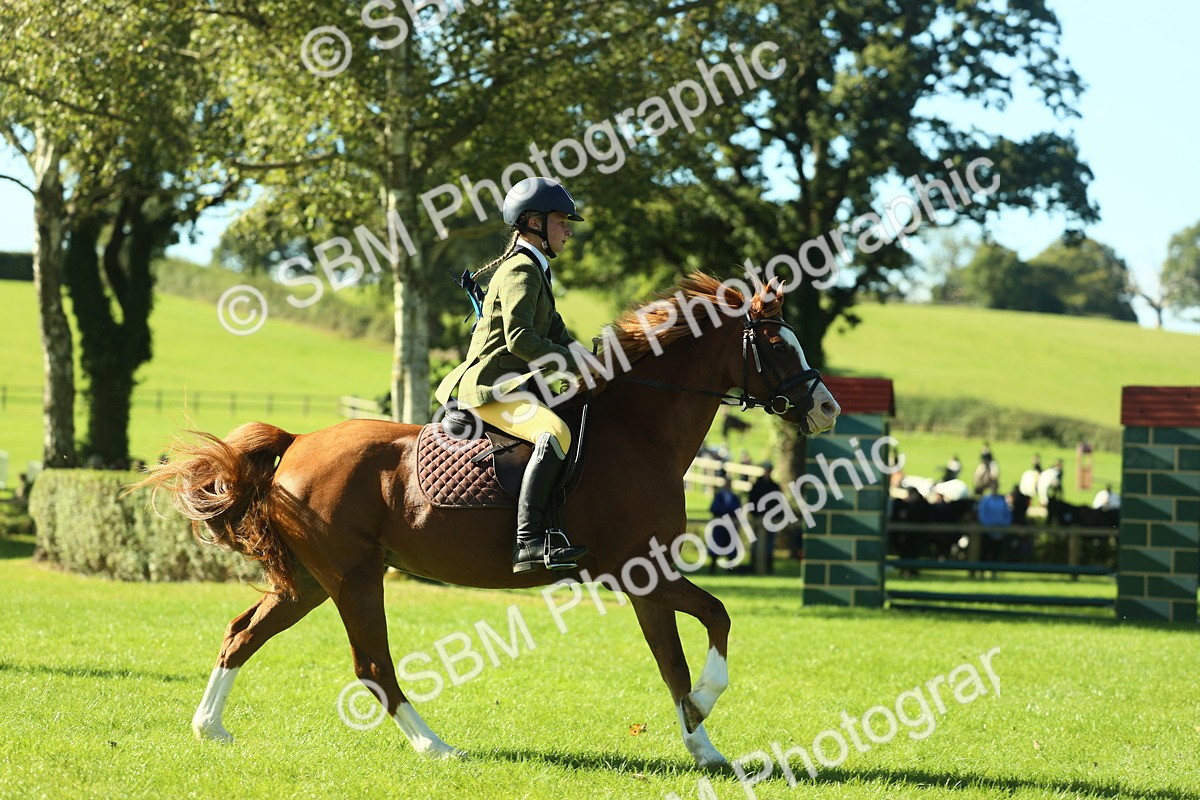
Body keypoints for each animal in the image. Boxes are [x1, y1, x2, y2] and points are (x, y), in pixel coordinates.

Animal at [138, 272, 841, 768]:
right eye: (775, 345)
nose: (827, 408)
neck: (640, 431)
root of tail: (298, 441)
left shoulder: (646, 578)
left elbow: (673, 659)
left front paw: (703, 747)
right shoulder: (638, 570)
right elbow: (714, 621)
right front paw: (704, 706)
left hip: (311, 582)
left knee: (243, 633)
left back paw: (210, 729)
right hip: (354, 579)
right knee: (373, 667)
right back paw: (437, 748)